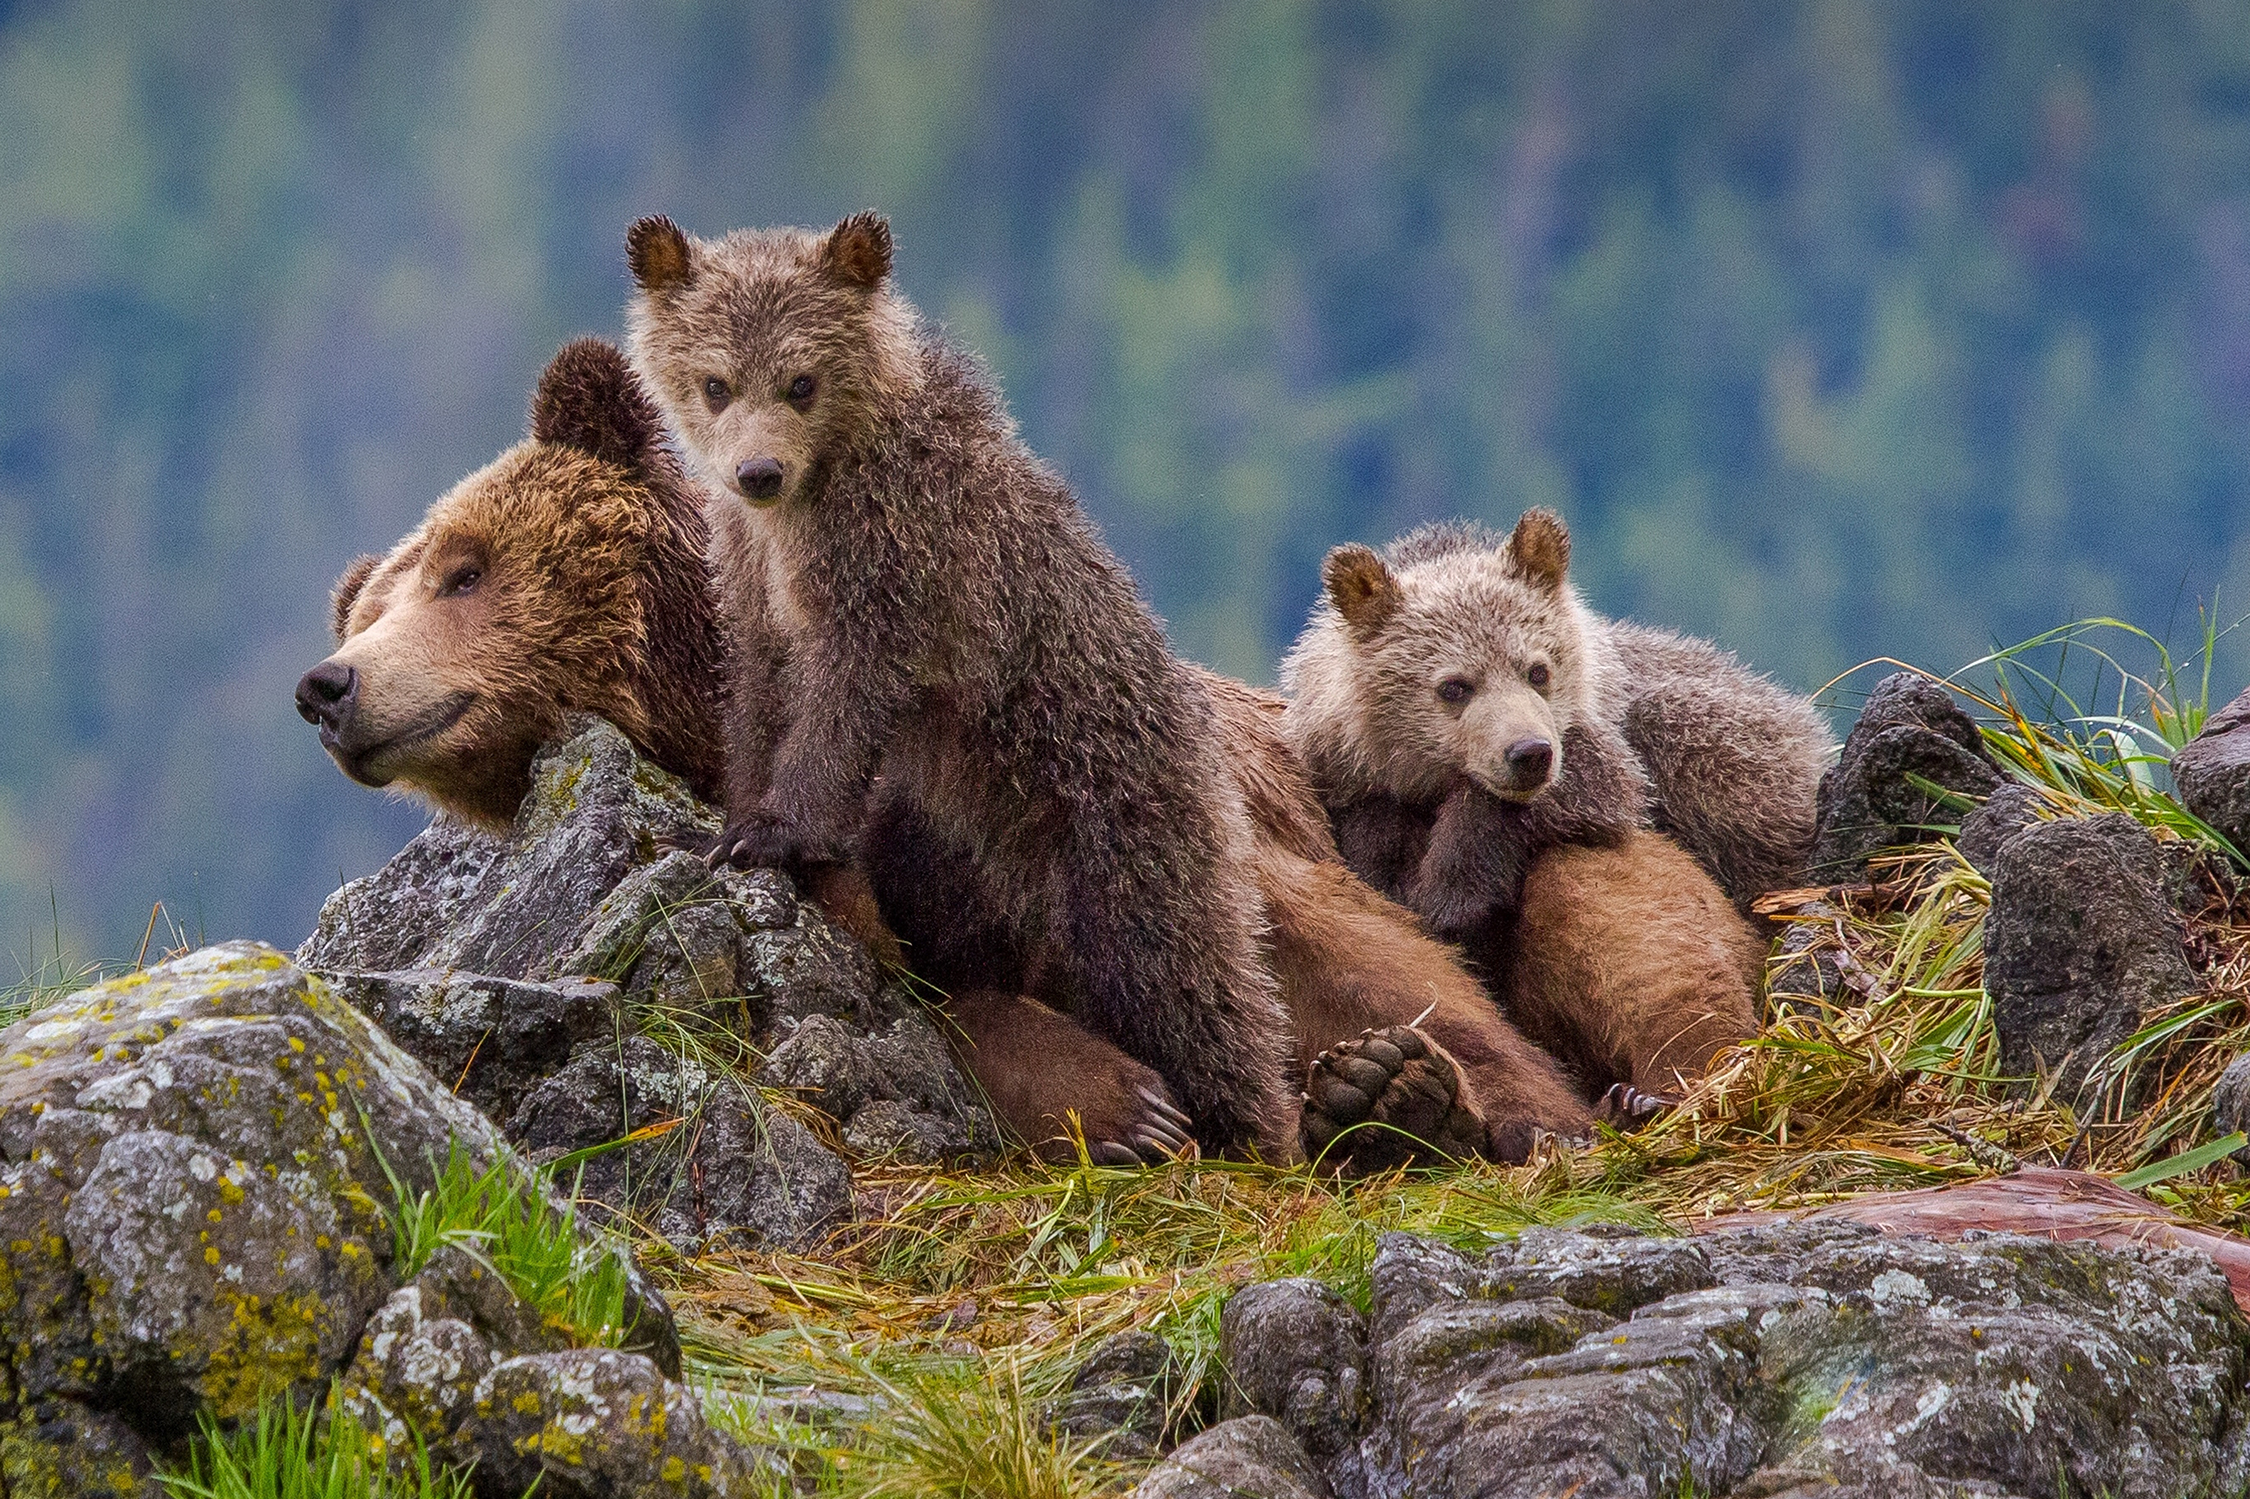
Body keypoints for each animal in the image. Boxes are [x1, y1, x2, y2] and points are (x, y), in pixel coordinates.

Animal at [623, 209, 1601, 1163]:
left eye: (801, 380)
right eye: (715, 382)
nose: (759, 470)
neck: (814, 501)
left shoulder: (903, 560)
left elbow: (848, 692)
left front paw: (769, 829)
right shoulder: (752, 574)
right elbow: (759, 690)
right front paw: (733, 815)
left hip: (1127, 822)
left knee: (1224, 980)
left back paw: (1352, 1108)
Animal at [1281, 509, 1825, 1100]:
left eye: (1537, 669)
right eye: (1454, 685)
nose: (1528, 753)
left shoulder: (1608, 741)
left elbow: (1592, 792)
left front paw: (1453, 890)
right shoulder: (1345, 777)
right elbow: (1372, 853)